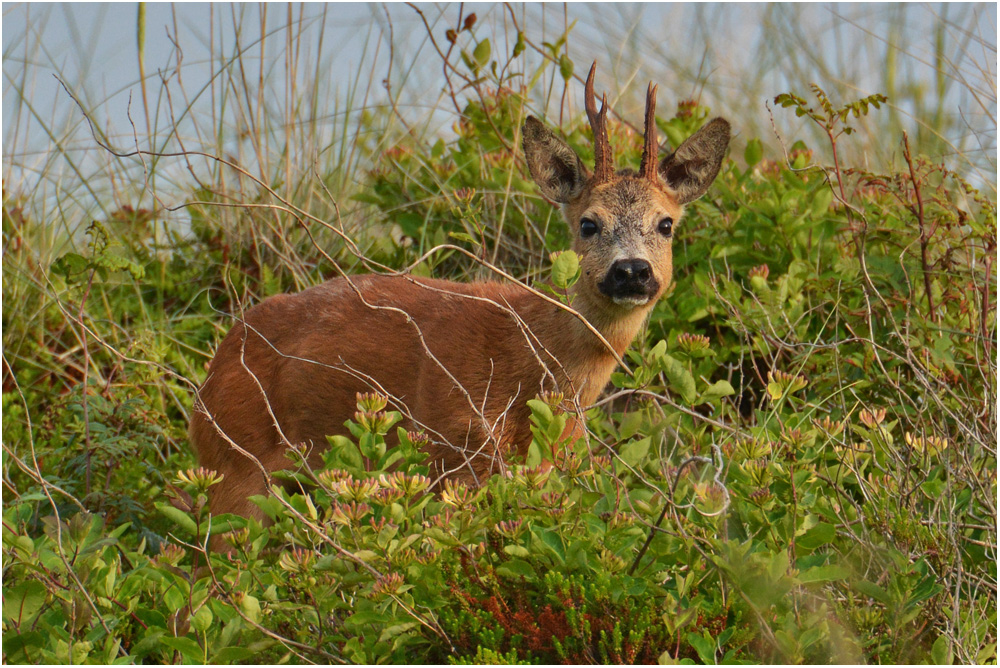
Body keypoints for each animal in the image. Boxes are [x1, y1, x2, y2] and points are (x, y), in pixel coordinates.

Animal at [191, 62, 732, 532]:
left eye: (666, 224)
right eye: (588, 223)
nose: (632, 271)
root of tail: (215, 367)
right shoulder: (447, 449)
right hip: (234, 466)